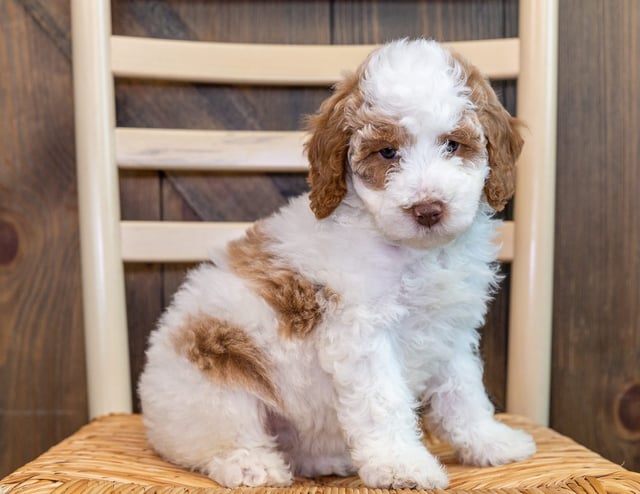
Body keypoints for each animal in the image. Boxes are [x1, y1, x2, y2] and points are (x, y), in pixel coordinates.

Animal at [139, 39, 536, 490]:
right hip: (215, 375)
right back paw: (250, 464)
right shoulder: (363, 333)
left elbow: (463, 391)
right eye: (387, 152)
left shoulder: (449, 331)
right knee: (222, 439)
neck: (417, 252)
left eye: (452, 145)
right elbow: (383, 401)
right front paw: (401, 465)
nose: (428, 209)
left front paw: (490, 442)